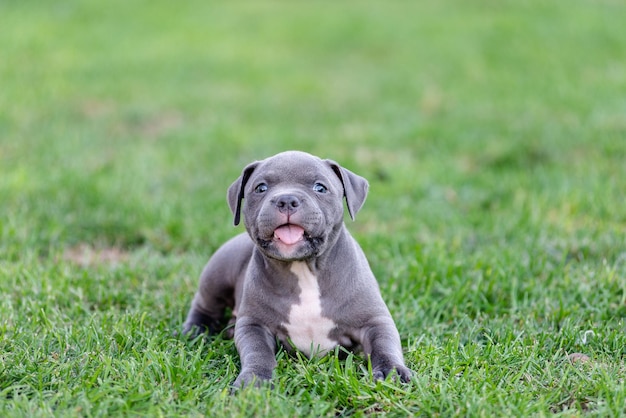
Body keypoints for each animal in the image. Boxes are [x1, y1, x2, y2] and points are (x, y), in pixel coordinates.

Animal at [183, 151, 412, 388]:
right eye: (261, 188)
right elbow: (257, 351)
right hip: (218, 274)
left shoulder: (374, 320)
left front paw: (391, 372)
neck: (303, 268)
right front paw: (254, 380)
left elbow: (384, 345)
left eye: (320, 187)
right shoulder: (253, 325)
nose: (286, 200)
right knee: (205, 305)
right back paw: (195, 331)